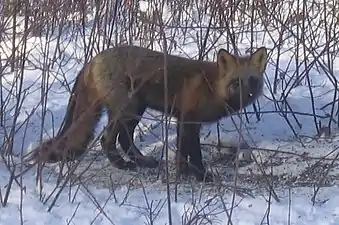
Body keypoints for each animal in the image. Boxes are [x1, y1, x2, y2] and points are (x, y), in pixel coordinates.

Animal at [27, 44, 268, 183]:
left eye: (252, 81)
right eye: (235, 83)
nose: (246, 96)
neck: (212, 86)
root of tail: (93, 59)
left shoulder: (186, 121)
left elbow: (183, 152)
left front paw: (183, 174)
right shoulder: (188, 119)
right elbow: (193, 153)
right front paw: (199, 176)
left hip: (134, 112)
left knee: (124, 139)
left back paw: (142, 161)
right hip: (127, 109)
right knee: (107, 139)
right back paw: (122, 165)